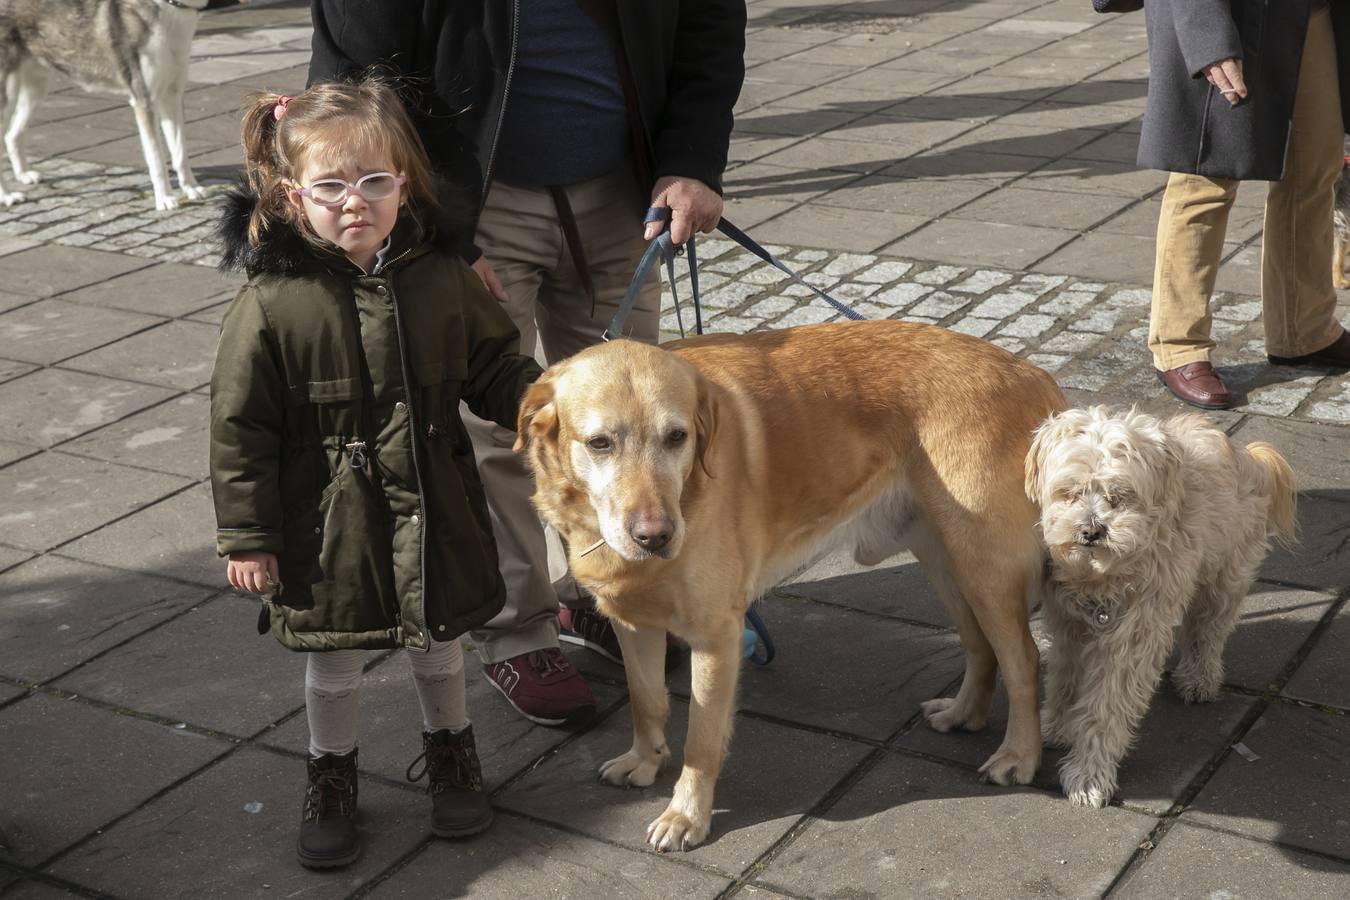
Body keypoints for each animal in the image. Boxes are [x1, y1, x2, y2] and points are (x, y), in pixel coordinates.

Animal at [0, 0, 207, 209]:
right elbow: (156, 158)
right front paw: (164, 198)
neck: (171, 12)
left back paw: (23, 175)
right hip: (8, 94)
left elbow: (180, 153)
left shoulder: (171, 96)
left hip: (37, 87)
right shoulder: (144, 101)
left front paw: (190, 188)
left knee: (12, 135)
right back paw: (7, 196)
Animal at [515, 322, 1063, 852]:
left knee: (1023, 660)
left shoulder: (717, 637)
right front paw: (645, 762)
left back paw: (1019, 755)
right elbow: (645, 701)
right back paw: (964, 713)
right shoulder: (634, 626)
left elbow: (701, 741)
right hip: (947, 561)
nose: (656, 536)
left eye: (676, 437)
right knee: (980, 646)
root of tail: (1033, 374)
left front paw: (686, 815)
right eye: (599, 443)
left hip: (982, 568)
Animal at [1020, 407, 1296, 809]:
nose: (1091, 531)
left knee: (1207, 630)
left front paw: (1089, 774)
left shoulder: (1131, 639)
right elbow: (1064, 679)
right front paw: (1056, 725)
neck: (1100, 574)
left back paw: (1199, 677)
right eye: (1070, 492)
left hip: (1224, 576)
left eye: (1119, 496)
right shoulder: (1068, 624)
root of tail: (1250, 457)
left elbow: (1105, 708)